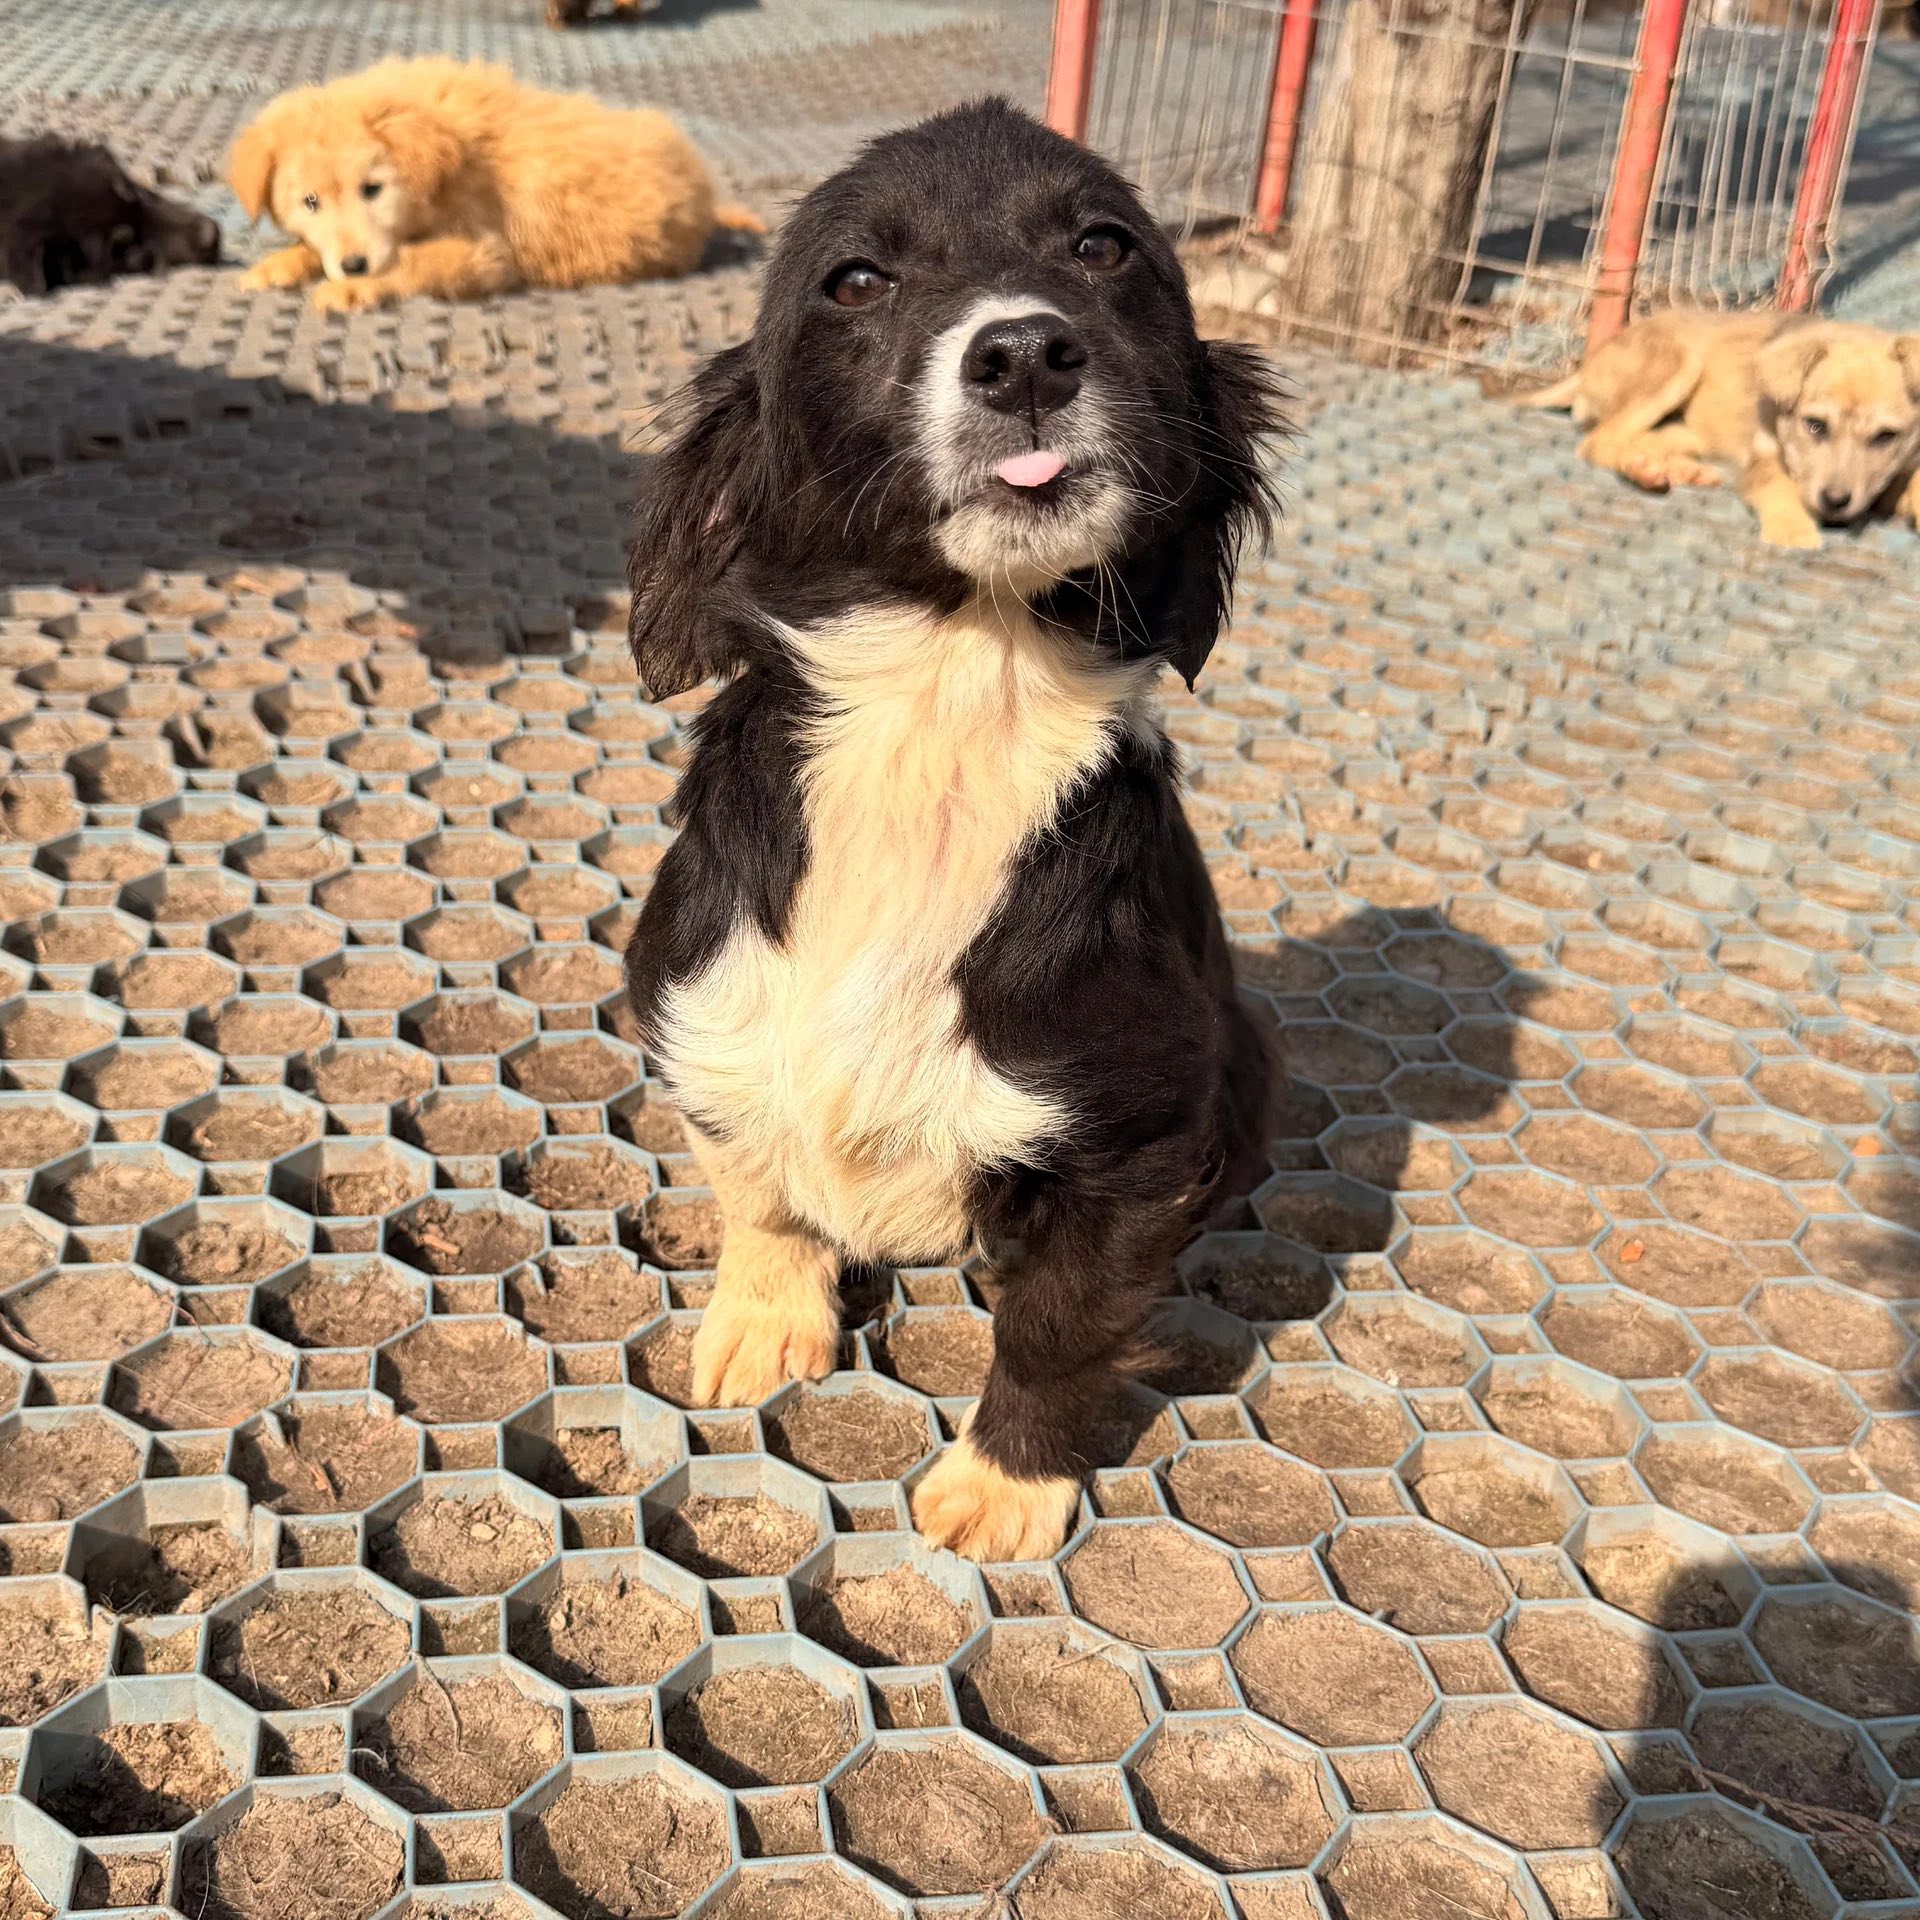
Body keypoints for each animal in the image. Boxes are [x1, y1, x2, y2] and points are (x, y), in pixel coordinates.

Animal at [228, 57, 761, 312]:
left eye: (372, 189)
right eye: (310, 201)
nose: (354, 265)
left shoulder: (485, 252)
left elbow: (412, 263)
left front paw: (354, 290)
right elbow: (317, 250)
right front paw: (282, 264)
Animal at [622, 98, 1283, 1563]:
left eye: (1105, 248)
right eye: (857, 279)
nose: (1027, 349)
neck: (948, 703)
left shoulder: (1140, 1136)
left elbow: (1060, 1323)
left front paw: (1006, 1485)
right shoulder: (696, 1006)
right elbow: (754, 1176)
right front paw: (764, 1317)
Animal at [1523, 309, 1920, 549]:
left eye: (1885, 436)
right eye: (1815, 426)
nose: (1835, 503)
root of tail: (1585, 367)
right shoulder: (1765, 456)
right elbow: (1778, 486)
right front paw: (1793, 529)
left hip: (1689, 429)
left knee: (1641, 439)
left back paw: (1675, 469)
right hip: (1679, 363)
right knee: (1599, 442)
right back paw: (1649, 472)